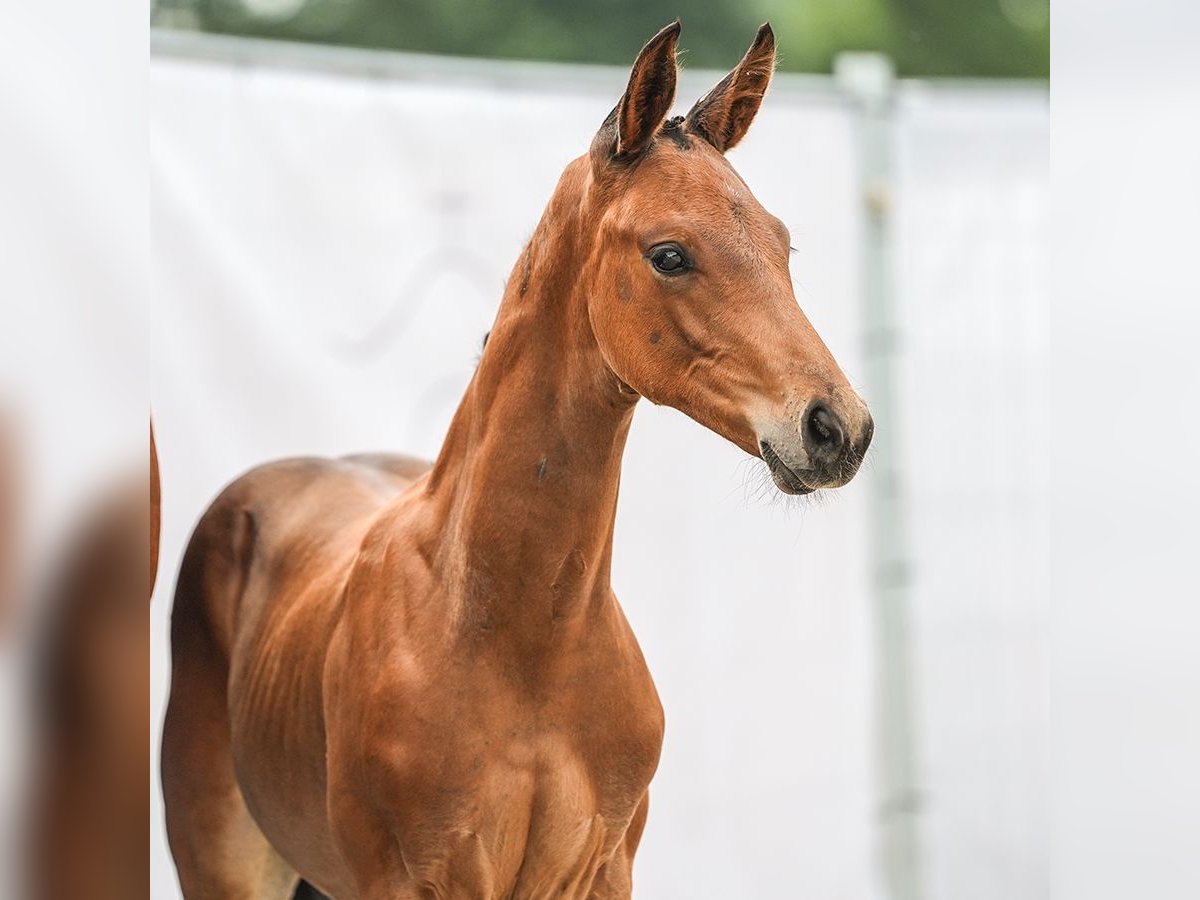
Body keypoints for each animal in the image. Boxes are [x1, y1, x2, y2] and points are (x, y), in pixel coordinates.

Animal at [162, 19, 873, 900]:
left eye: (782, 243)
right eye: (669, 254)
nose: (837, 428)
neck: (526, 642)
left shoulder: (602, 872)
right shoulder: (406, 879)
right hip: (225, 863)